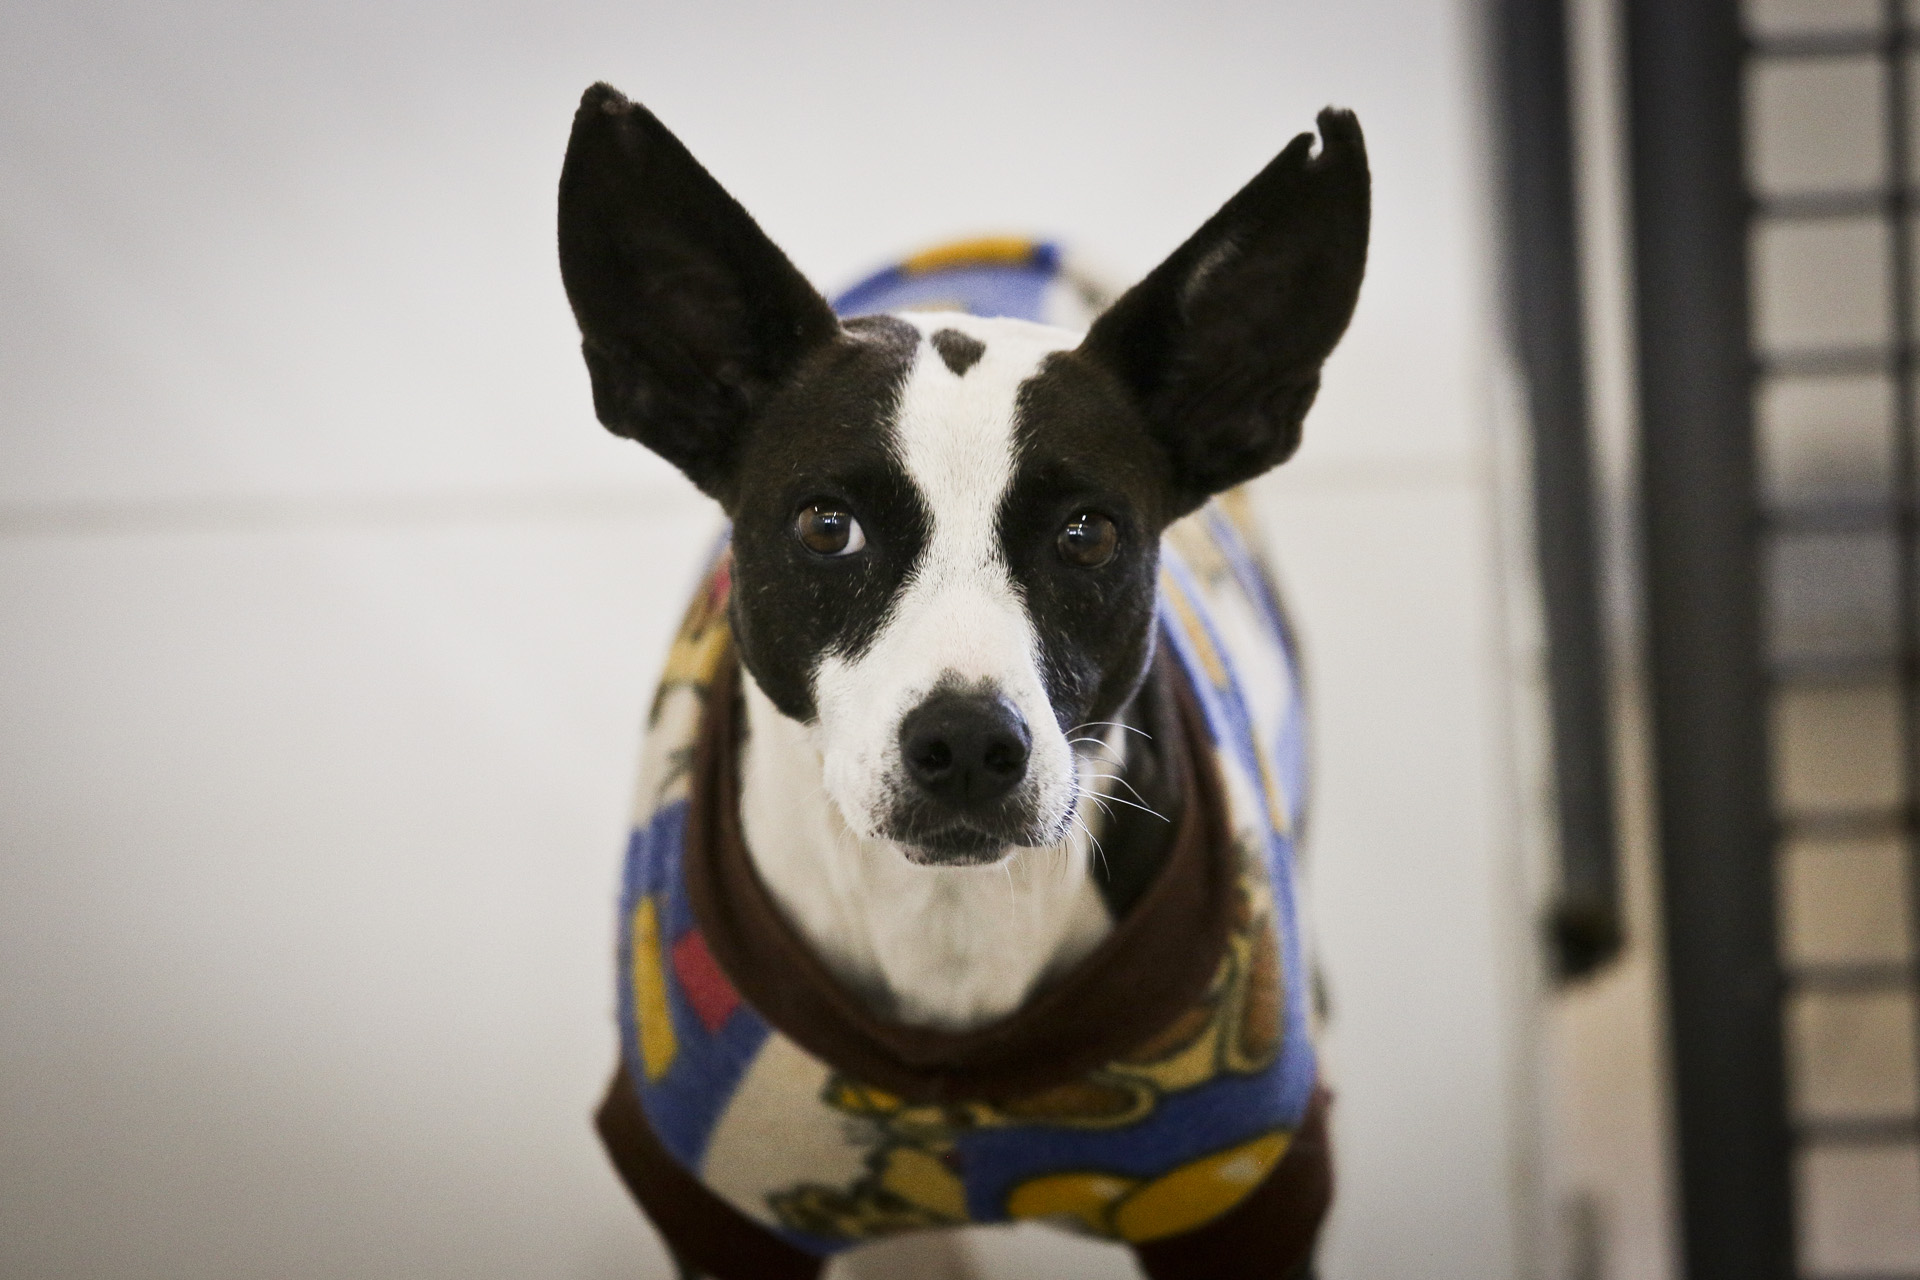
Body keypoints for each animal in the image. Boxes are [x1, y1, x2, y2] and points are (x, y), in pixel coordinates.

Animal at [556, 82, 1367, 1280]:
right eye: (826, 526)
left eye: (1087, 533)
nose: (971, 745)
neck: (946, 930)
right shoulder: (724, 1209)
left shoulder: (1241, 1199)